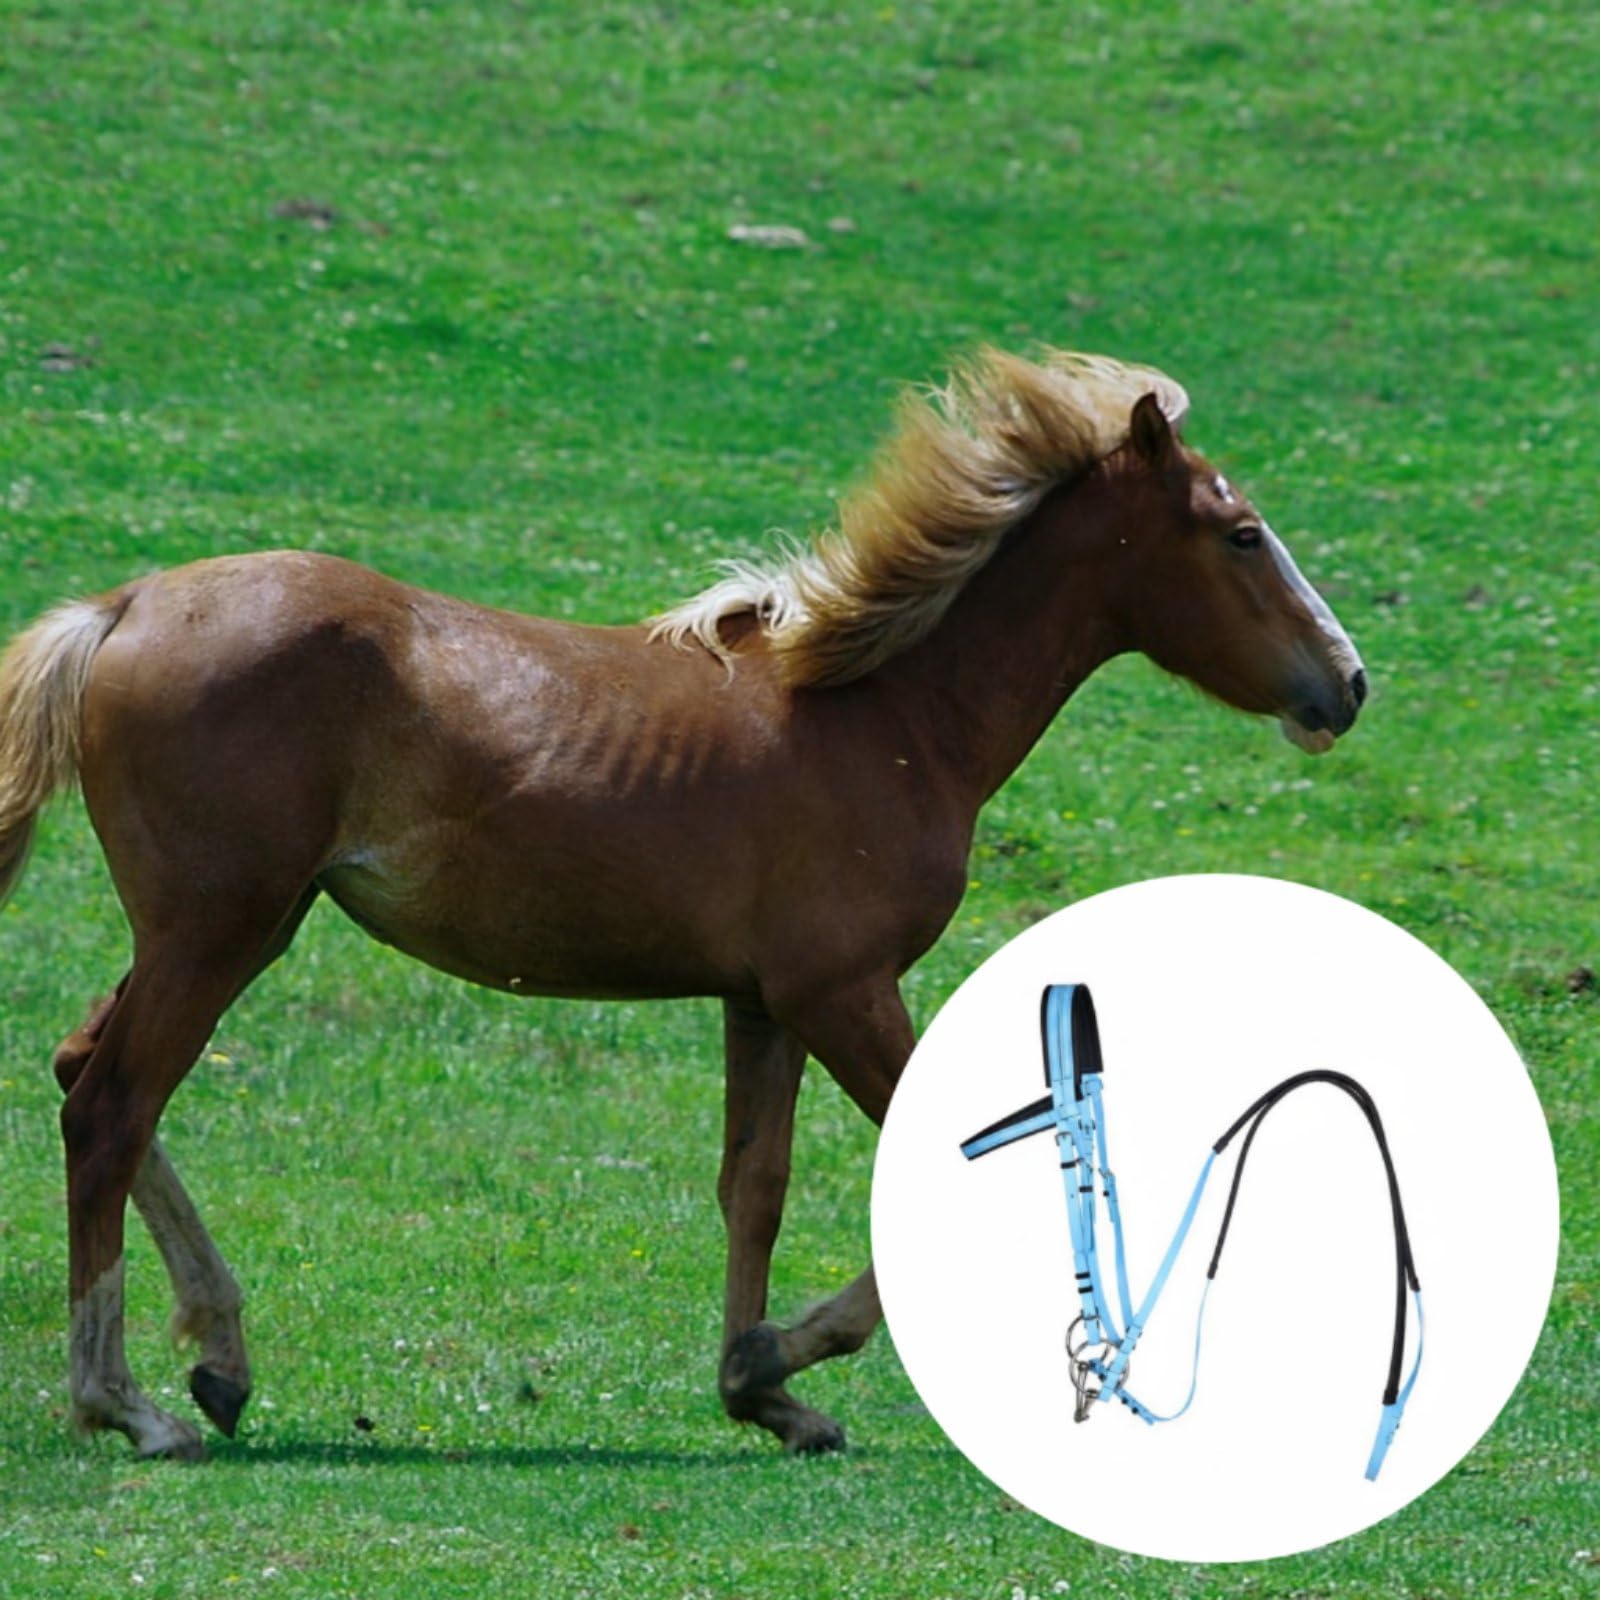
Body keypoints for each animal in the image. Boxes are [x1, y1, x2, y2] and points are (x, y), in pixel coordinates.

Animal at [0, 348, 1366, 1461]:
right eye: (1241, 533)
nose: (1346, 684)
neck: (883, 715)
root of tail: (122, 607)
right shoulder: (841, 989)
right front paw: (778, 1358)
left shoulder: (764, 1000)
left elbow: (751, 1183)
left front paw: (763, 1388)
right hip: (218, 928)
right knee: (112, 1106)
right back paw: (127, 1403)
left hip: (239, 924)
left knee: (81, 1069)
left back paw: (219, 1354)